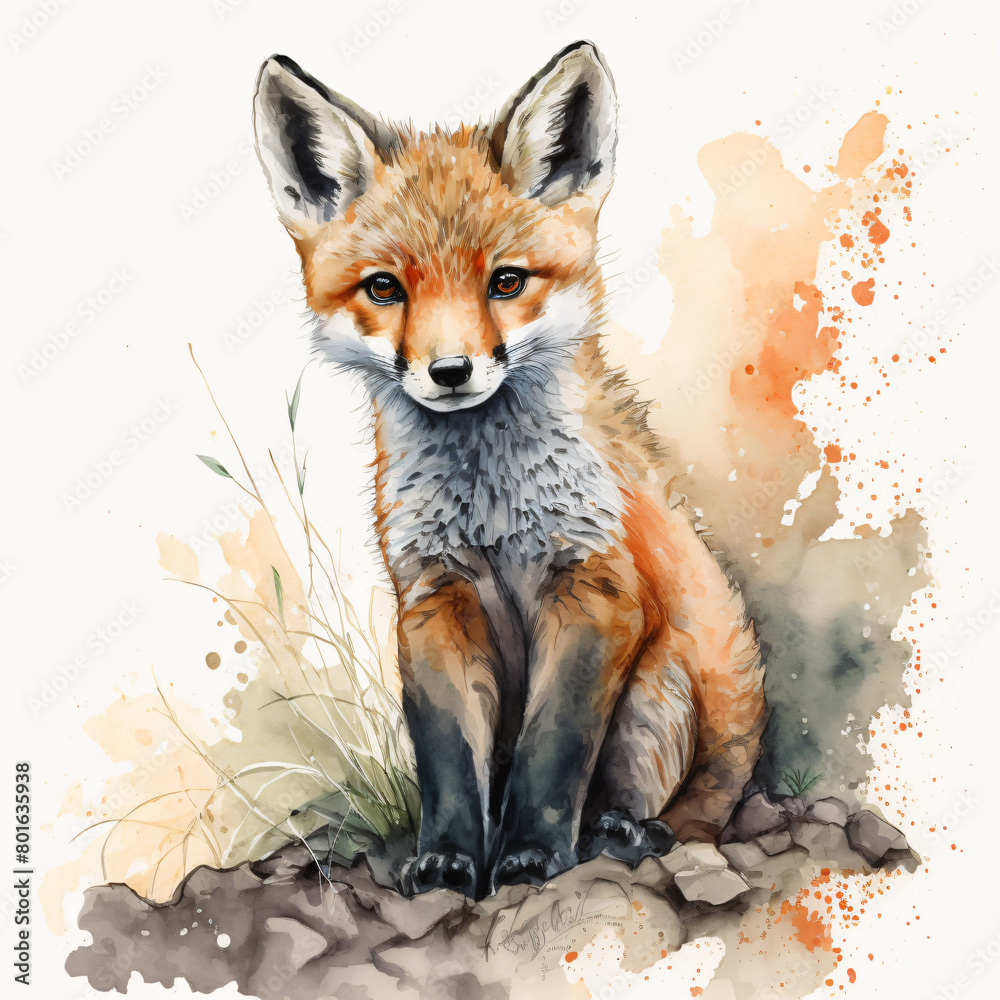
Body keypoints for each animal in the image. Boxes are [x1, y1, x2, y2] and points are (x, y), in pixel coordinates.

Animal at [252, 40, 766, 900]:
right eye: (385, 288)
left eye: (507, 282)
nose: (451, 371)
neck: (490, 508)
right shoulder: (433, 597)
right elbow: (451, 763)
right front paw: (450, 860)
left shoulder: (595, 587)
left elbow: (551, 750)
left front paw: (529, 856)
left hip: (657, 688)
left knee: (669, 804)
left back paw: (627, 831)